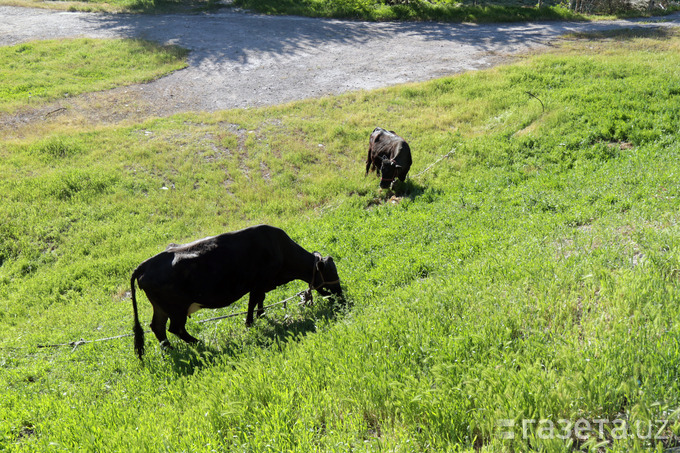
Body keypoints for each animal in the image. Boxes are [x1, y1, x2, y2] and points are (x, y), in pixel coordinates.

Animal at [129, 224, 340, 358]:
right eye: (330, 272)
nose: (342, 299)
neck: (280, 248)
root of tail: (145, 265)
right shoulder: (258, 283)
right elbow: (254, 301)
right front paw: (250, 323)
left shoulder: (262, 284)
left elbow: (260, 300)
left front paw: (261, 316)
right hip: (177, 309)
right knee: (175, 328)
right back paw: (199, 343)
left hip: (162, 308)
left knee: (158, 327)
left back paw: (169, 350)